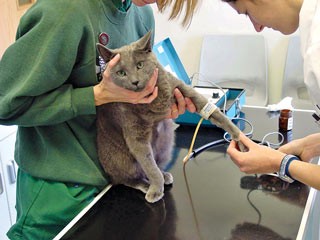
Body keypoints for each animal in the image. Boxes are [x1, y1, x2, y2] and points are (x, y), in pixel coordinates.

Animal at [96, 31, 241, 202]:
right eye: (121, 73)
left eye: (139, 65)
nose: (135, 81)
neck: (152, 100)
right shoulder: (135, 134)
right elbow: (150, 166)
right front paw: (156, 190)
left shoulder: (181, 88)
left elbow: (212, 110)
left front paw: (237, 135)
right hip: (120, 159)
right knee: (128, 177)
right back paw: (146, 184)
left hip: (165, 145)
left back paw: (164, 175)